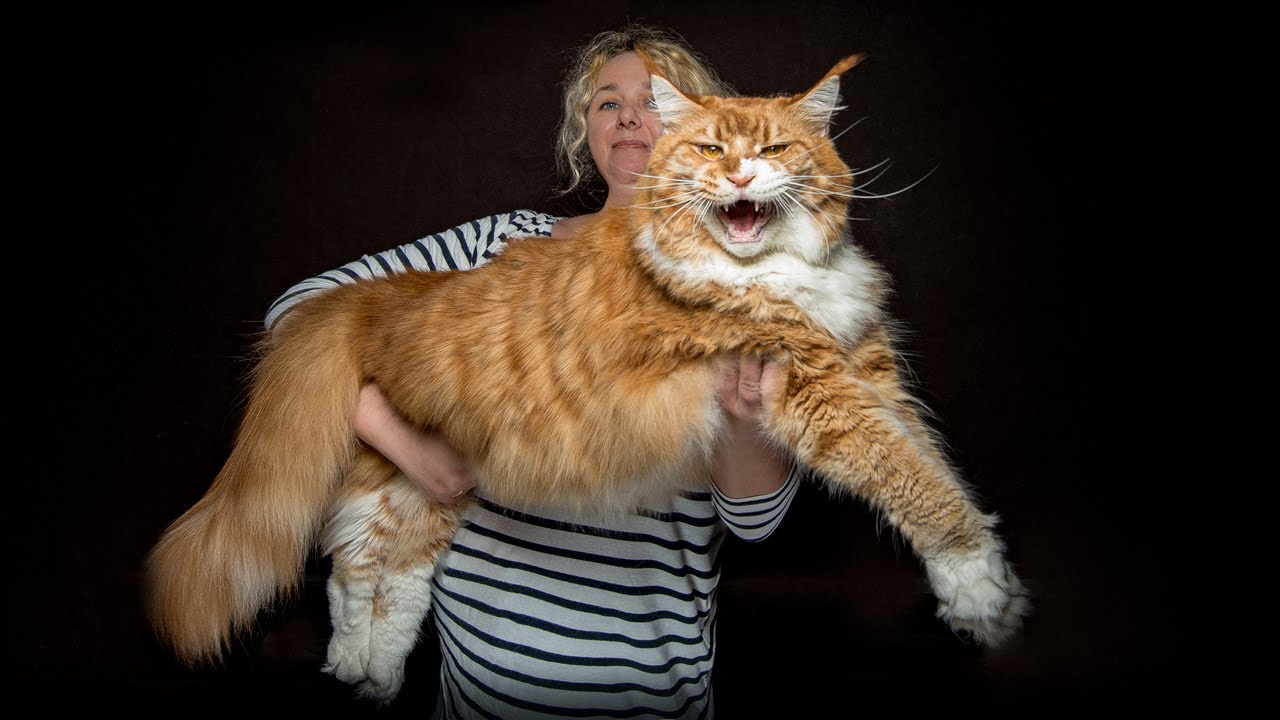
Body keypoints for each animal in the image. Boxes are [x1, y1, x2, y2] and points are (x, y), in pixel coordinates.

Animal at [145, 51, 1034, 702]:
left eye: (776, 148)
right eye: (710, 149)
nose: (740, 178)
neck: (769, 272)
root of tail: (394, 291)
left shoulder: (868, 370)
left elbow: (931, 462)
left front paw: (972, 591)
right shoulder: (814, 384)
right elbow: (914, 479)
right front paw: (982, 584)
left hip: (421, 480)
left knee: (378, 571)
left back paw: (370, 666)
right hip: (403, 468)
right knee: (359, 563)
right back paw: (360, 664)